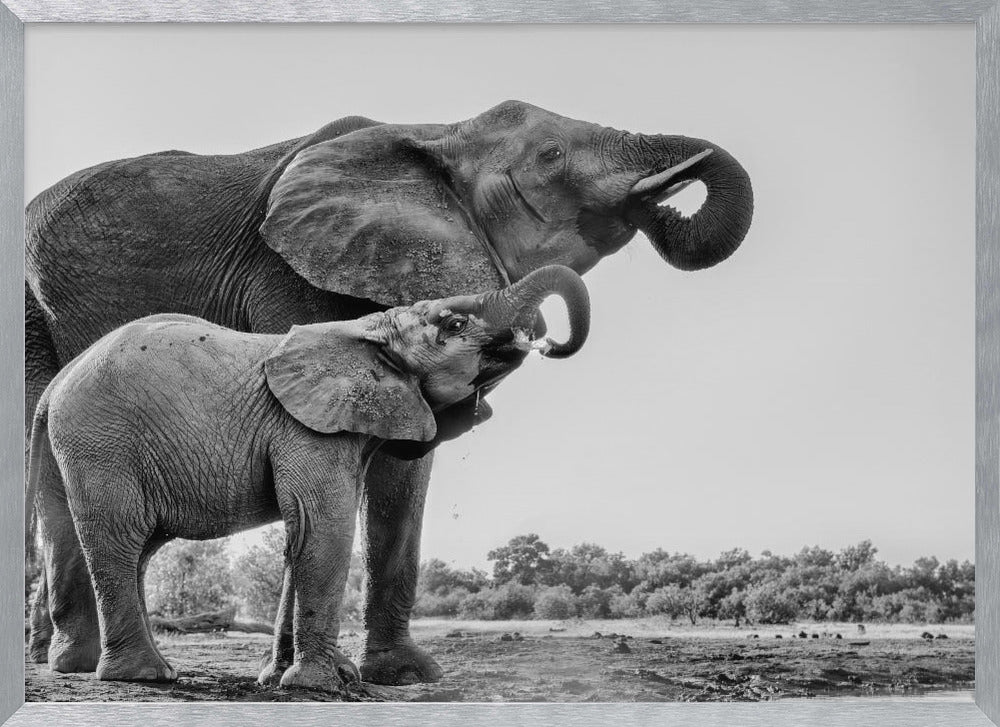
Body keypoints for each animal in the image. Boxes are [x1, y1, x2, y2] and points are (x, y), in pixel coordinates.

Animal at [25, 265, 590, 689]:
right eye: (451, 324)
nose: (548, 342)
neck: (366, 329)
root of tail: (54, 386)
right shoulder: (305, 426)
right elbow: (324, 528)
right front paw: (323, 685)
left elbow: (301, 537)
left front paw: (280, 680)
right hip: (102, 442)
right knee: (120, 538)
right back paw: (146, 676)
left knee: (106, 543)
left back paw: (97, 667)